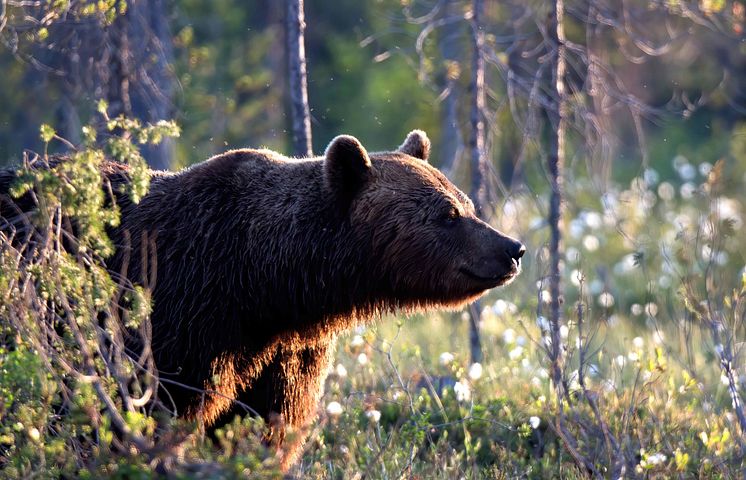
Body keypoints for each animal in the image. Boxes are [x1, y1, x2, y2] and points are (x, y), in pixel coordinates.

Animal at [0, 130, 524, 468]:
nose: (512, 248)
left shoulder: (284, 353)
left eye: (467, 204)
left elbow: (267, 425)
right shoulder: (176, 315)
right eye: (448, 214)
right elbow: (143, 412)